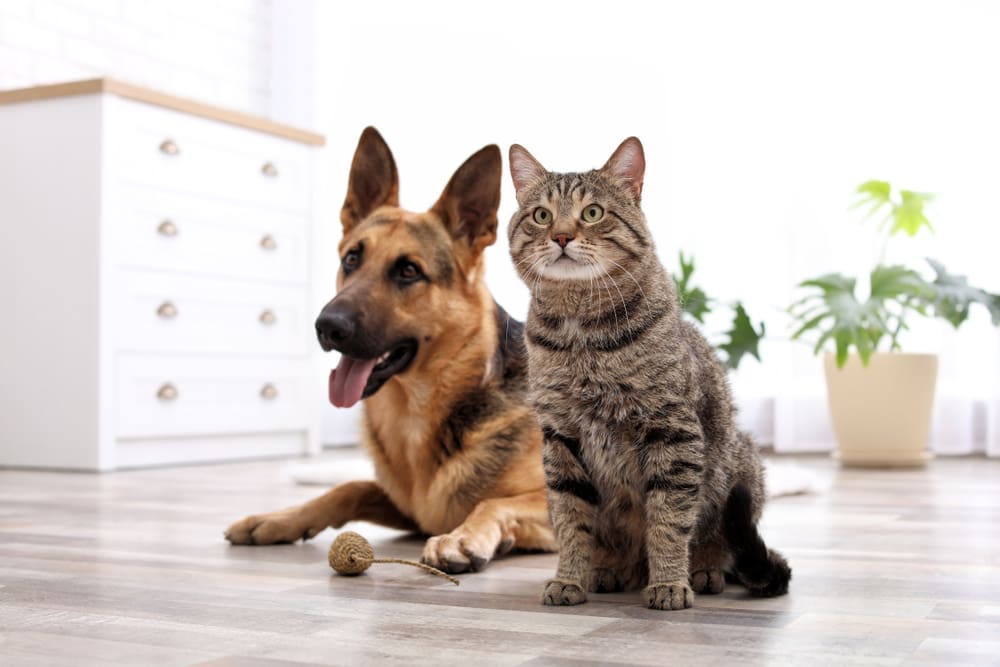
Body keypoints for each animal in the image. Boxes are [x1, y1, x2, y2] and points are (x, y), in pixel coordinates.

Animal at [223, 126, 560, 576]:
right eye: (351, 259)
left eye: (408, 271)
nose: (327, 326)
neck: (417, 413)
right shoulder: (410, 508)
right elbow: (349, 487)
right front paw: (278, 519)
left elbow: (493, 502)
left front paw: (461, 538)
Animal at [508, 136, 788, 612]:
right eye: (541, 215)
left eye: (592, 212)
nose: (561, 236)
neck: (582, 335)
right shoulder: (560, 439)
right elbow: (571, 521)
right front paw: (570, 577)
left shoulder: (671, 430)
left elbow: (669, 520)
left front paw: (671, 581)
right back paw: (608, 570)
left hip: (741, 466)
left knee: (720, 542)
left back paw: (702, 570)